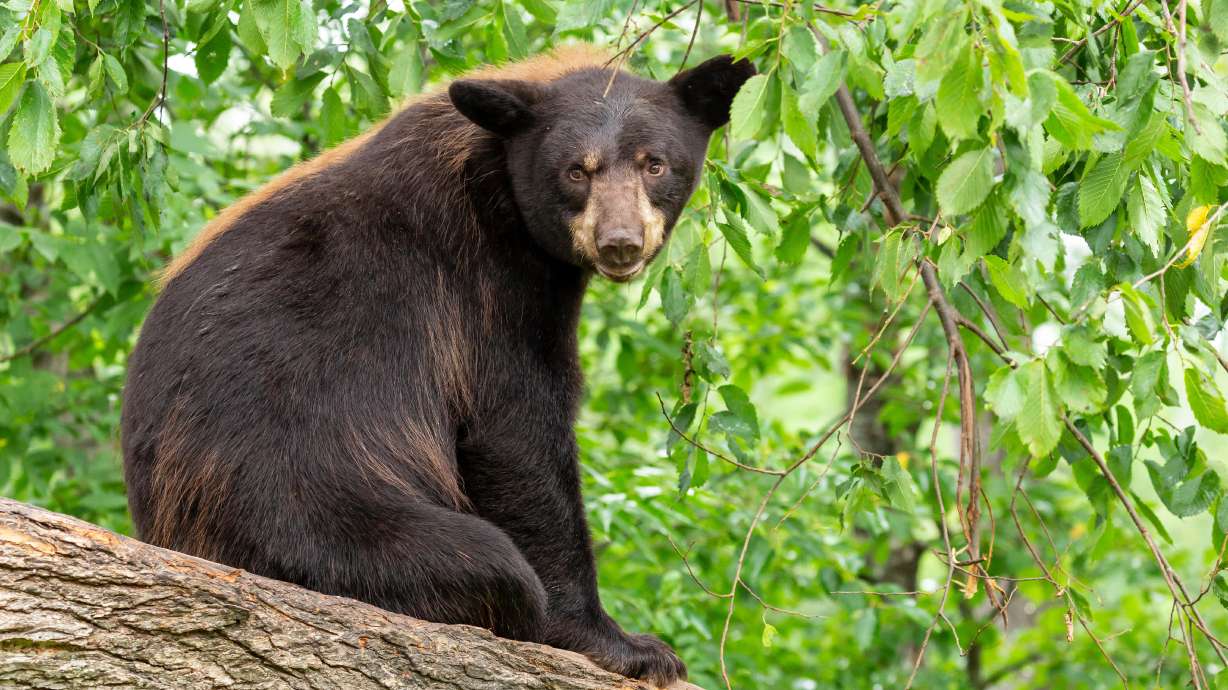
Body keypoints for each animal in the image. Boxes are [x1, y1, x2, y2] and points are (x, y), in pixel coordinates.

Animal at [121, 45, 754, 686]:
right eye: (577, 171)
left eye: (655, 164)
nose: (619, 242)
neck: (493, 178)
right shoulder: (487, 286)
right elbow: (516, 433)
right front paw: (625, 644)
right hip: (314, 516)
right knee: (489, 562)